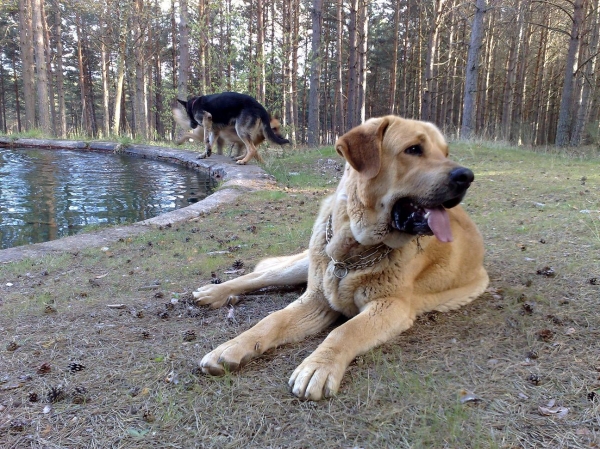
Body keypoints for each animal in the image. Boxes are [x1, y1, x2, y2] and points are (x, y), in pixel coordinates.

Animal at [192, 115, 488, 400]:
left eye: (445, 152)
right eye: (414, 149)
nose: (467, 176)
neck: (355, 247)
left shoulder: (390, 306)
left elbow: (345, 330)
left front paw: (319, 366)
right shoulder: (317, 299)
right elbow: (273, 319)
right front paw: (232, 346)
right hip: (307, 262)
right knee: (260, 276)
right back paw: (214, 292)